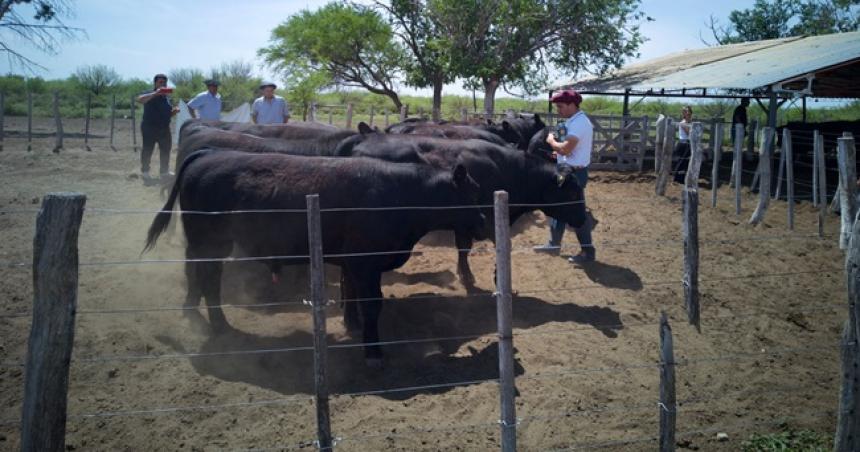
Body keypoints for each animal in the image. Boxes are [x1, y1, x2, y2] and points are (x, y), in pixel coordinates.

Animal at [144, 150, 488, 366]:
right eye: (472, 193)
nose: (485, 223)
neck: (400, 195)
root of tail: (206, 154)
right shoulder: (365, 263)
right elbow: (372, 304)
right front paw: (373, 352)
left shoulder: (353, 263)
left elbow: (351, 294)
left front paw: (352, 325)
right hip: (209, 242)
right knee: (207, 278)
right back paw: (218, 326)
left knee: (201, 275)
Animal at [332, 132, 588, 286]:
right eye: (573, 193)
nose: (583, 219)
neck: (509, 169)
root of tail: (359, 138)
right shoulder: (488, 221)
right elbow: (500, 245)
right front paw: (496, 278)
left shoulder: (466, 221)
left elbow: (463, 248)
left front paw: (465, 274)